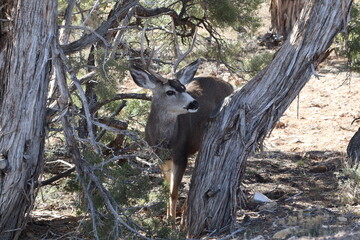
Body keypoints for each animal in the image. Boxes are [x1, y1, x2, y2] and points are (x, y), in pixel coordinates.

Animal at [129, 59, 233, 221]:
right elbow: (167, 187)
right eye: (170, 92)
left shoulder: (181, 155)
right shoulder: (159, 157)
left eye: (183, 88)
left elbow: (174, 191)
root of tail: (228, 84)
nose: (194, 103)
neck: (165, 141)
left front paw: (172, 221)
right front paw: (167, 217)